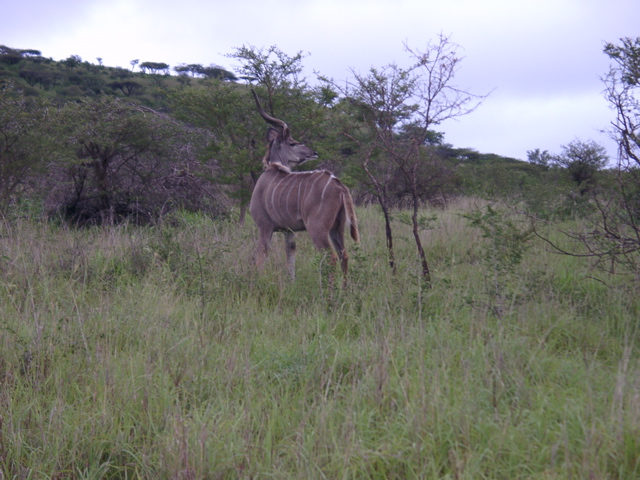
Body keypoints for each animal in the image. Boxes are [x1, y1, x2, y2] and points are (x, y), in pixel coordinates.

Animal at [249, 90, 359, 285]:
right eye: (292, 143)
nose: (314, 152)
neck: (273, 169)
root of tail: (339, 185)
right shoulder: (289, 231)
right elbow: (290, 254)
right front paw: (291, 283)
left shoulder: (264, 226)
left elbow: (260, 257)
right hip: (337, 228)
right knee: (344, 255)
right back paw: (346, 290)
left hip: (317, 229)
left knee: (330, 257)